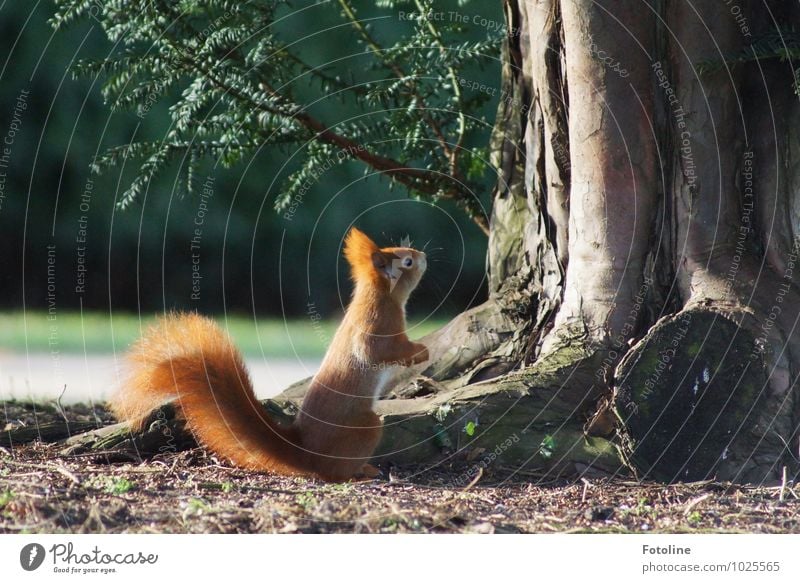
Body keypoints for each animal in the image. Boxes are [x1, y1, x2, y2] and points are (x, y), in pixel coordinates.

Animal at [111, 229, 432, 484]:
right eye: (406, 261)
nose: (424, 255)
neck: (380, 294)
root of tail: (306, 454)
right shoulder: (378, 323)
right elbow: (375, 350)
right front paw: (420, 352)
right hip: (365, 427)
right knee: (333, 473)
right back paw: (360, 473)